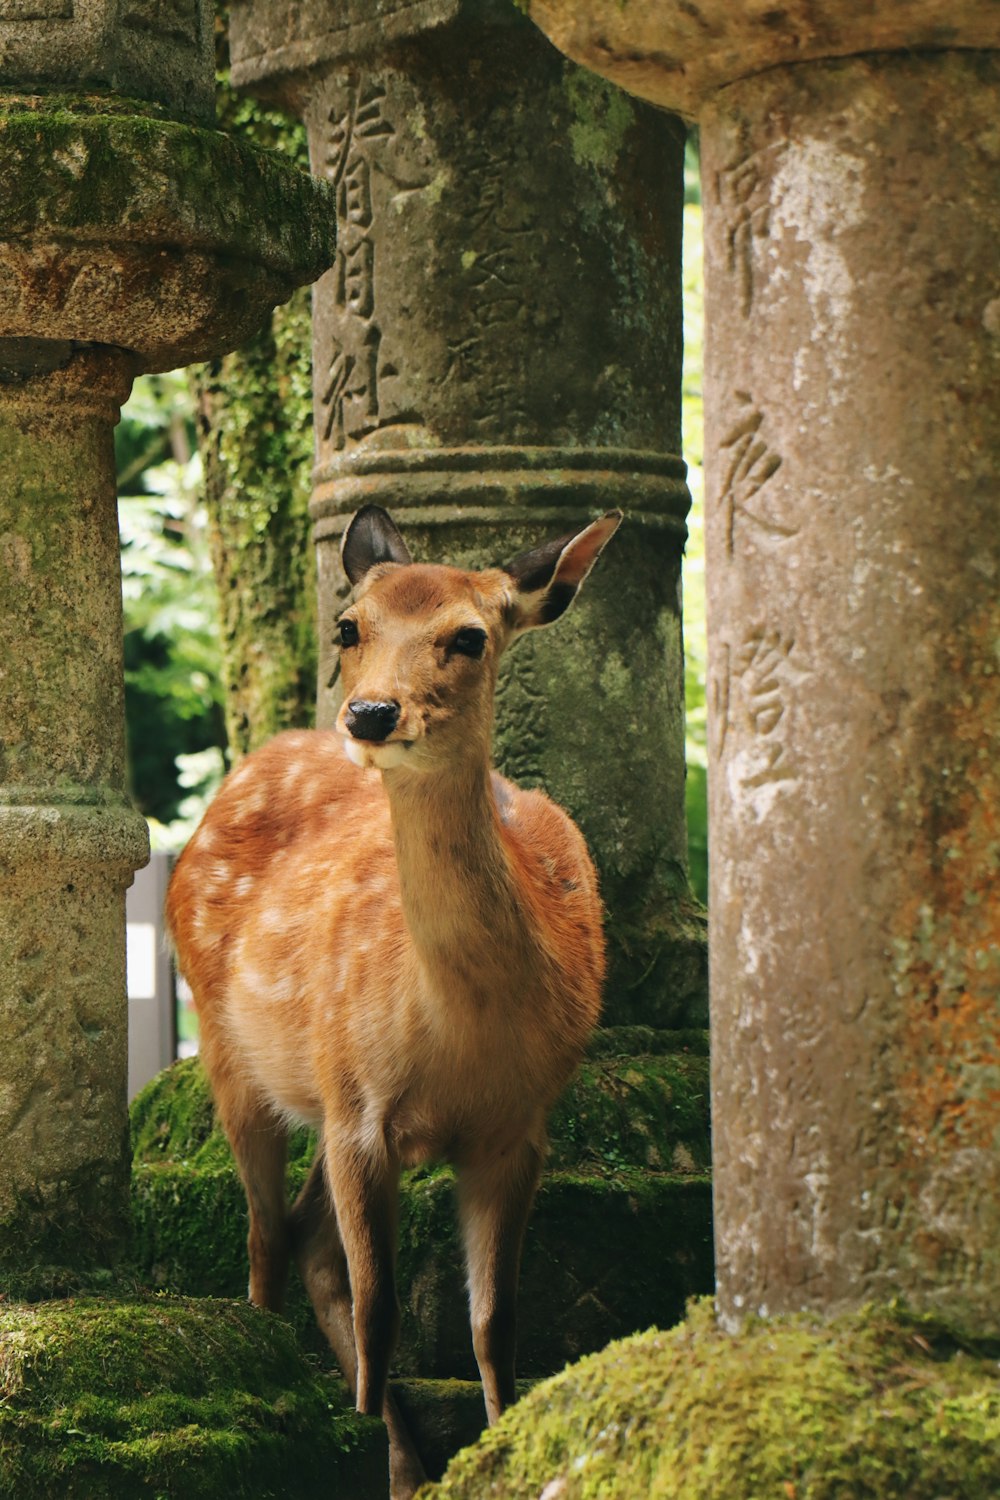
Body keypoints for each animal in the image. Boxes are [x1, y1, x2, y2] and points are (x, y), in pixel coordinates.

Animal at [167, 504, 620, 1500]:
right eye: (348, 628)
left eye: (470, 636)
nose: (371, 712)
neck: (461, 1031)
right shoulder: (356, 1109)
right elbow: (383, 1313)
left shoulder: (517, 1130)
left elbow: (494, 1326)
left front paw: (495, 1450)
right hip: (231, 1049)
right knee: (267, 1239)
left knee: (306, 1239)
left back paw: (402, 1458)